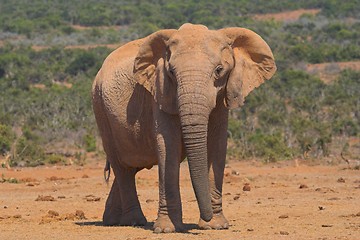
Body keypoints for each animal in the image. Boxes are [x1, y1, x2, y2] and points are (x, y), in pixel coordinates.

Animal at [92, 23, 276, 232]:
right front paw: (167, 229)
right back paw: (134, 221)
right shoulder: (161, 90)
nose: (206, 216)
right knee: (122, 167)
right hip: (100, 108)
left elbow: (217, 146)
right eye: (171, 72)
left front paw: (216, 226)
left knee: (131, 167)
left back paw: (113, 220)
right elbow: (168, 147)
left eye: (219, 70)